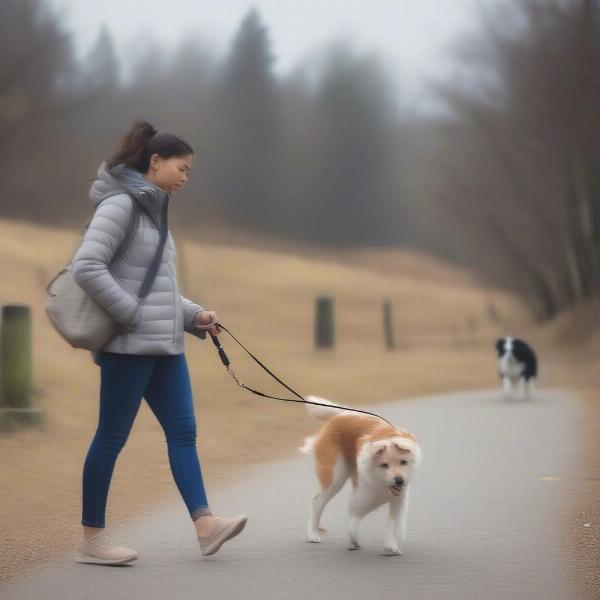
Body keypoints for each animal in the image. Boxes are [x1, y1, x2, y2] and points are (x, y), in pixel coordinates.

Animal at [300, 396, 422, 556]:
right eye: (384, 465)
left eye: (403, 462)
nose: (399, 481)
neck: (381, 482)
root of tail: (341, 414)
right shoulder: (364, 497)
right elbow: (354, 519)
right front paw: (354, 539)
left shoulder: (398, 500)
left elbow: (391, 525)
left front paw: (391, 545)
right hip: (335, 479)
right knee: (316, 502)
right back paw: (312, 534)